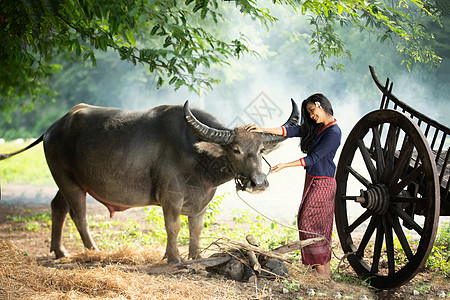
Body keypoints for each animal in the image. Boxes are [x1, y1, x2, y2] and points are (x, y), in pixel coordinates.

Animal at [0, 100, 298, 262]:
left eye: (261, 150)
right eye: (235, 150)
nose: (258, 183)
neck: (195, 154)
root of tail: (53, 128)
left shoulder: (201, 201)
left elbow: (196, 229)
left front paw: (196, 256)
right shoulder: (171, 198)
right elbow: (173, 227)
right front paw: (173, 257)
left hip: (67, 180)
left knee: (58, 206)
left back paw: (60, 251)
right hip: (68, 181)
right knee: (78, 213)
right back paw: (94, 250)